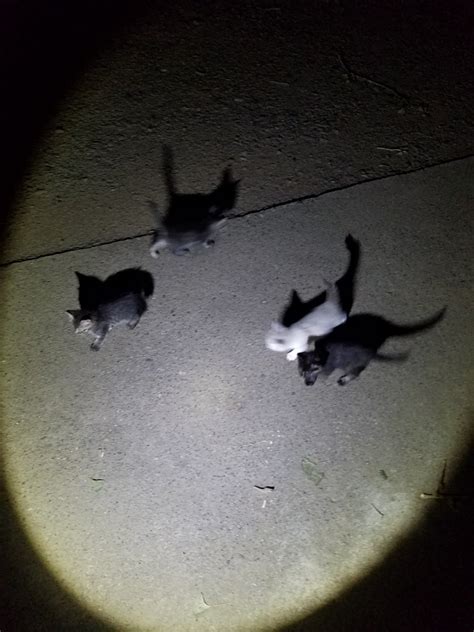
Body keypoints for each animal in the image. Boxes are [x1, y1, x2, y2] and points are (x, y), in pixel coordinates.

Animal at [298, 306, 446, 386]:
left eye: (315, 369)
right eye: (304, 371)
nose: (308, 384)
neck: (321, 351)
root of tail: (386, 326)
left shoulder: (331, 365)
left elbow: (326, 372)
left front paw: (322, 380)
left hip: (355, 362)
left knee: (357, 372)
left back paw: (345, 379)